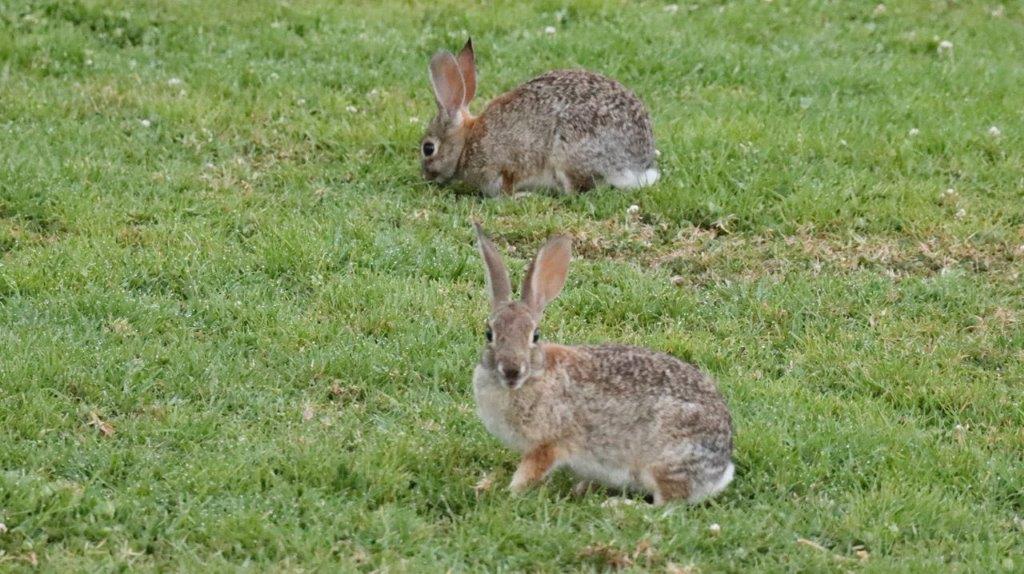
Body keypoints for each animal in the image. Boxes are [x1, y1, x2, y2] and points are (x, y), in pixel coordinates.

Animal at [419, 39, 659, 196]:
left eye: (428, 148)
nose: (425, 176)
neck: (467, 143)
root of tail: (635, 165)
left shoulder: (506, 163)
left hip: (569, 154)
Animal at [471, 222, 737, 503]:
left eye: (535, 336)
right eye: (489, 334)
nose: (511, 370)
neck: (535, 376)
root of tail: (720, 470)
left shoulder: (549, 445)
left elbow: (530, 472)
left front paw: (506, 492)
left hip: (663, 462)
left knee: (668, 503)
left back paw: (616, 505)